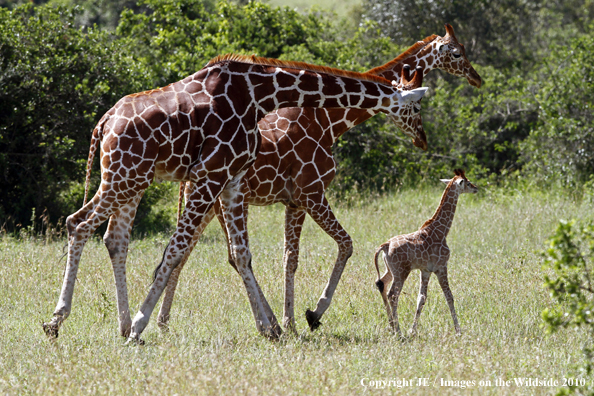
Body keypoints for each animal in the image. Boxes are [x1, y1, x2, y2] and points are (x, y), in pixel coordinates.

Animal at [44, 53, 428, 340]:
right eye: (415, 109)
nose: (423, 139)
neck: (260, 93)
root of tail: (104, 122)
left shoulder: (231, 179)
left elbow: (241, 254)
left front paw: (270, 329)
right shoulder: (212, 173)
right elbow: (176, 249)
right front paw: (141, 325)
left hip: (130, 179)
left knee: (112, 237)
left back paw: (116, 324)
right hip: (125, 177)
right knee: (78, 223)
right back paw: (59, 321)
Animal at [374, 169, 476, 336]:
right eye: (467, 182)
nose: (476, 188)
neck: (442, 230)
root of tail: (386, 245)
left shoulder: (426, 270)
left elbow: (421, 298)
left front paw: (412, 330)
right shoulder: (441, 267)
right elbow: (449, 296)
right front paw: (458, 331)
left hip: (391, 269)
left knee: (381, 284)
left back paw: (392, 327)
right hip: (401, 272)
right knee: (393, 295)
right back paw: (398, 331)